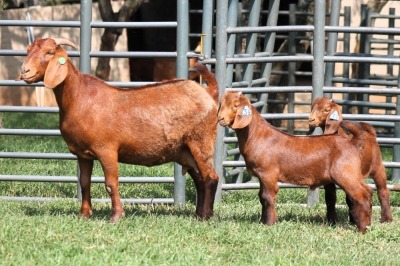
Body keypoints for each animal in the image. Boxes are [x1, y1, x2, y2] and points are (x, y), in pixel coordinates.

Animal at [18, 38, 219, 222]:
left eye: (49, 52)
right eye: (27, 51)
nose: (25, 71)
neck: (79, 97)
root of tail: (208, 93)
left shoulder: (107, 149)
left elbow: (111, 183)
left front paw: (116, 216)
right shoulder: (83, 154)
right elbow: (84, 183)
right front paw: (84, 214)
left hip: (201, 140)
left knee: (211, 177)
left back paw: (205, 216)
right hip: (184, 151)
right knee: (200, 179)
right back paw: (198, 214)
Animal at [217, 91, 374, 233]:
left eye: (235, 105)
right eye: (221, 104)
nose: (220, 118)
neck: (257, 135)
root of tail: (352, 141)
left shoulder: (268, 173)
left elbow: (268, 197)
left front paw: (270, 223)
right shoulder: (262, 176)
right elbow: (261, 197)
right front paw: (262, 221)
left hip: (345, 173)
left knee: (362, 193)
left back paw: (362, 228)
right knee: (367, 191)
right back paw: (367, 224)